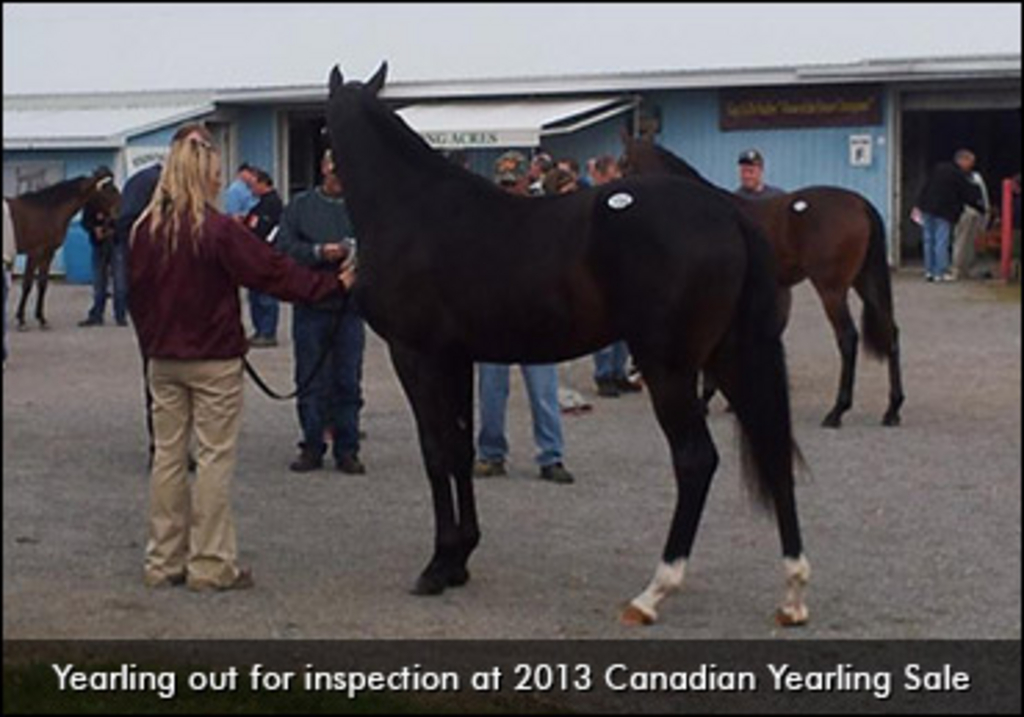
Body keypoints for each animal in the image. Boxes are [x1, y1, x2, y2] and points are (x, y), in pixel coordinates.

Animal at [5, 166, 117, 329]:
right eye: (108, 188)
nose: (119, 210)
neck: (46, 211)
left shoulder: (48, 253)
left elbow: (42, 284)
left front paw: (41, 319)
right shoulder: (34, 253)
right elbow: (27, 285)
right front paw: (21, 320)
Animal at [325, 64, 806, 622]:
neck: (412, 206)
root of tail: (731, 215)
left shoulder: (416, 355)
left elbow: (436, 452)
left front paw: (437, 565)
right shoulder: (457, 359)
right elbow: (462, 450)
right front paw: (460, 559)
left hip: (669, 367)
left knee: (695, 460)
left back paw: (654, 591)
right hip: (730, 356)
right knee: (773, 448)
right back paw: (793, 594)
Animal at [622, 136, 905, 426]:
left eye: (624, 164)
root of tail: (861, 204)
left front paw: (704, 399)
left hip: (832, 289)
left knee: (847, 338)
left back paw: (837, 410)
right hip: (865, 282)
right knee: (891, 333)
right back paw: (892, 409)